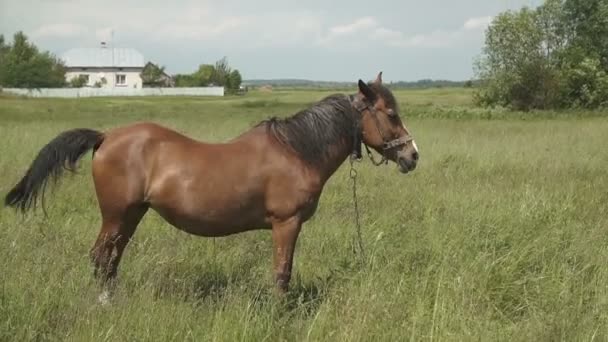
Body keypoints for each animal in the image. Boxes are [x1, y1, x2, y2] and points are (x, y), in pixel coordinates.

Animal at [5, 73, 418, 302]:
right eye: (391, 114)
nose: (412, 156)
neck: (297, 150)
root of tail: (106, 137)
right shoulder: (286, 224)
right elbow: (282, 274)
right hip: (115, 215)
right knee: (100, 258)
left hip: (131, 216)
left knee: (111, 260)